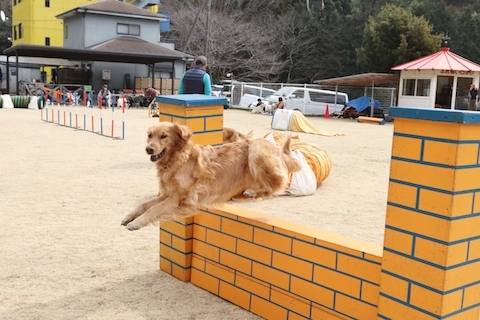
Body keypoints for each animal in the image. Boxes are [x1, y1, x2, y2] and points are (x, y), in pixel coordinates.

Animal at [121, 122, 300, 230]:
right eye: (150, 135)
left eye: (164, 136)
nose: (149, 149)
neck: (177, 160)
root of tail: (278, 149)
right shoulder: (166, 194)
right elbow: (144, 205)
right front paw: (129, 216)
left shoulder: (179, 198)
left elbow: (154, 209)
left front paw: (136, 223)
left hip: (256, 149)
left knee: (277, 185)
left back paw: (253, 192)